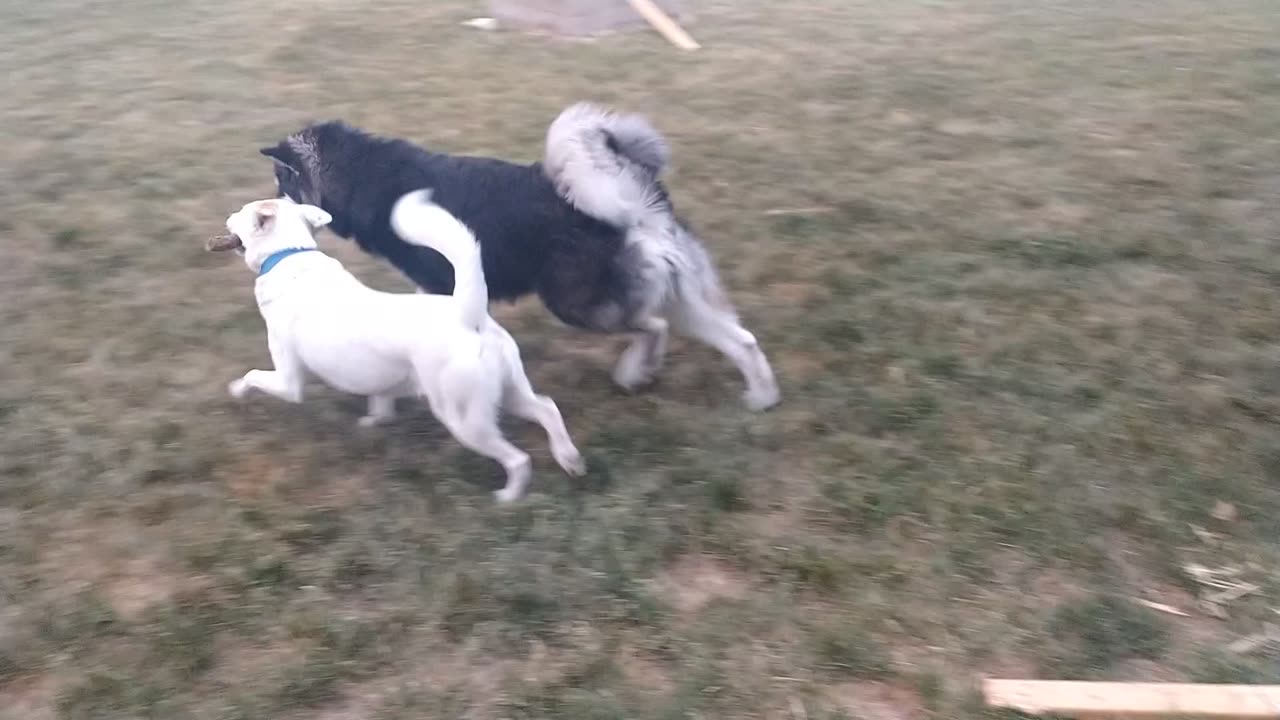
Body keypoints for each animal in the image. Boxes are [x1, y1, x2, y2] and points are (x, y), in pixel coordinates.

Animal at [207, 193, 586, 502]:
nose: (226, 216)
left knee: (518, 458)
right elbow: (381, 400)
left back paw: (509, 496)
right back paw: (570, 459)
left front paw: (236, 390)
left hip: (464, 419)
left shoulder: (289, 382)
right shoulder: (380, 377)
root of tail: (469, 315)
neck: (287, 255)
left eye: (240, 213)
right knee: (547, 409)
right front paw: (374, 422)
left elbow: (252, 376)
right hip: (508, 391)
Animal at [259, 101, 778, 409]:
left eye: (283, 182)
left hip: (576, 304)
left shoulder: (440, 284)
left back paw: (634, 372)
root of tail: (632, 204)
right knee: (742, 340)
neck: (367, 177)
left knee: (653, 328)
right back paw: (761, 398)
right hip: (680, 298)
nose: (268, 211)